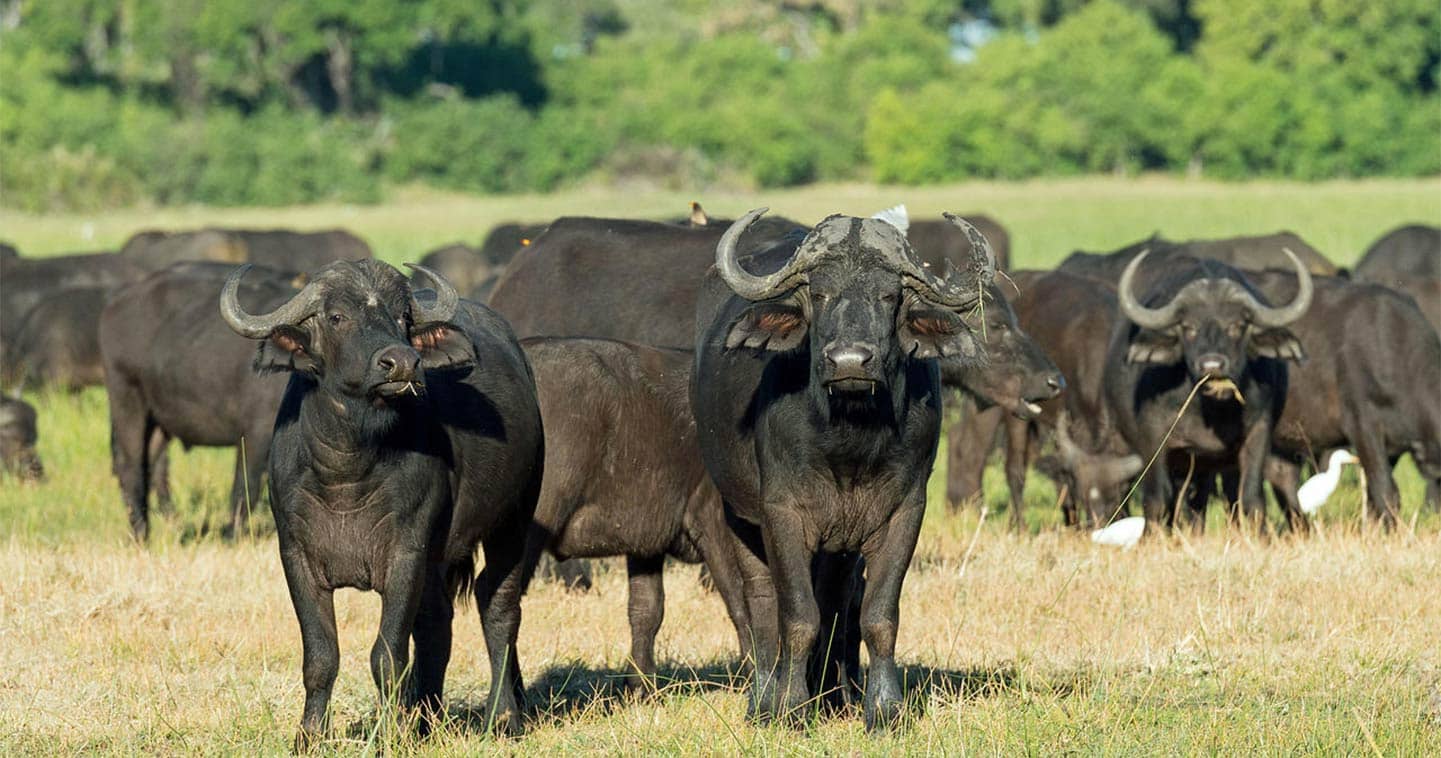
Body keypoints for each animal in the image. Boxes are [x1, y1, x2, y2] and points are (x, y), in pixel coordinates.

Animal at [100, 265, 296, 544]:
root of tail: (116, 303)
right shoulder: (255, 434)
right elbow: (245, 487)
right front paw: (231, 537)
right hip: (126, 397)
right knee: (131, 466)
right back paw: (141, 535)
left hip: (160, 418)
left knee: (152, 463)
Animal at [691, 208, 997, 732]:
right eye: (819, 294)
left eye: (890, 295)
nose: (850, 360)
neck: (850, 439)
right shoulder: (782, 512)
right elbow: (796, 615)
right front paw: (791, 708)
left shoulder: (904, 513)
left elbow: (878, 614)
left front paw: (884, 708)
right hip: (737, 515)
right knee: (762, 603)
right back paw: (765, 699)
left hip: (840, 543)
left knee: (836, 599)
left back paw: (835, 694)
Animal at [1100, 250, 1319, 536]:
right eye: (1188, 327)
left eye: (1237, 325)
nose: (1212, 365)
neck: (1210, 410)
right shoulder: (1153, 439)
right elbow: (1157, 499)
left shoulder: (1258, 433)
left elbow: (1251, 498)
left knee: (1205, 502)